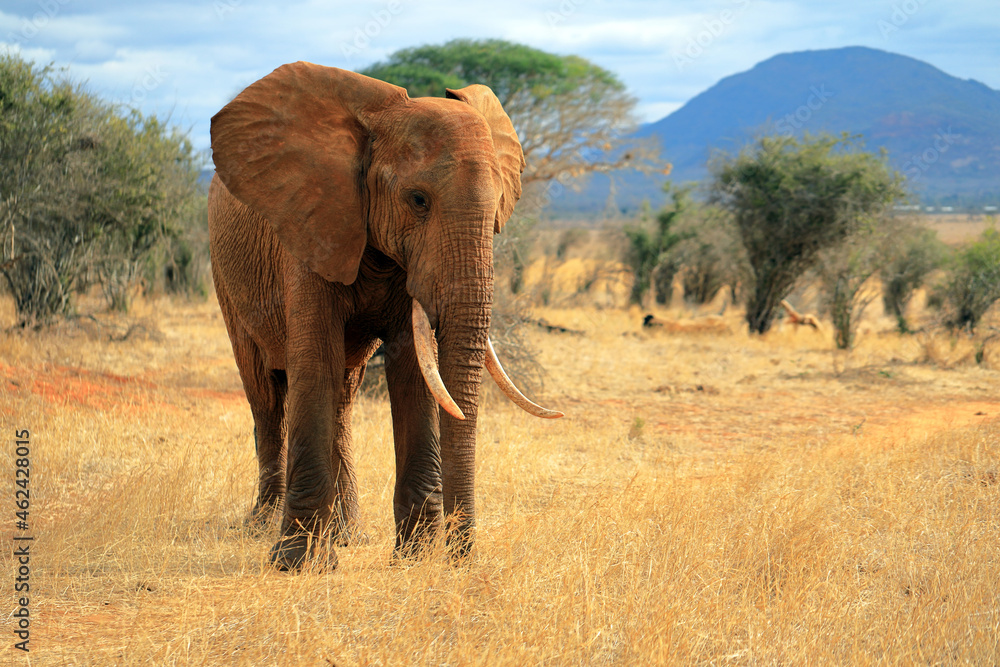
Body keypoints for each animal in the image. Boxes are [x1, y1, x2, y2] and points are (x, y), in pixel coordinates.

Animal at [208, 62, 562, 571]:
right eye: (418, 200)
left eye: (498, 205)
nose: (460, 558)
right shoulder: (313, 227)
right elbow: (314, 361)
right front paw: (299, 565)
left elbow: (413, 369)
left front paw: (415, 557)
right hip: (226, 276)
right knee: (266, 395)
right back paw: (263, 527)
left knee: (343, 396)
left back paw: (347, 535)